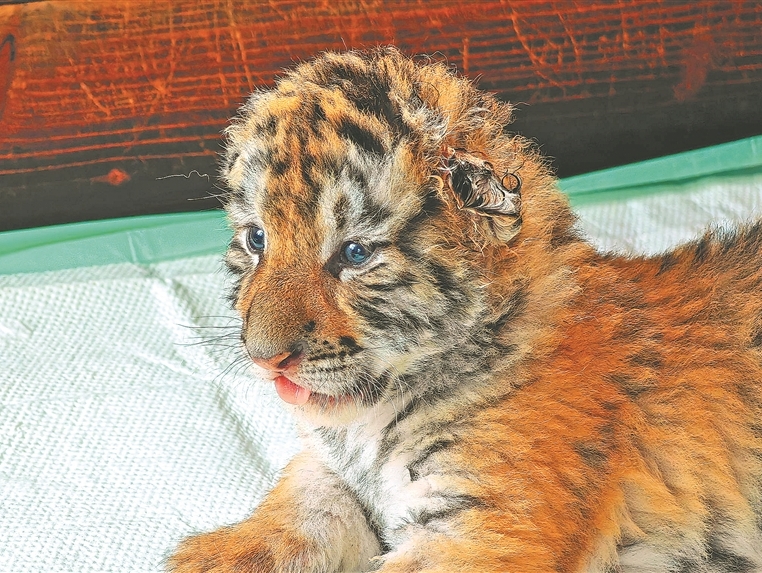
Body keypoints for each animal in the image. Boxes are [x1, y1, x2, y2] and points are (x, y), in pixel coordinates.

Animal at [167, 47, 762, 573]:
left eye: (355, 253)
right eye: (257, 239)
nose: (265, 358)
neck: (374, 419)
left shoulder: (481, 524)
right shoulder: (335, 472)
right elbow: (300, 510)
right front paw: (211, 558)